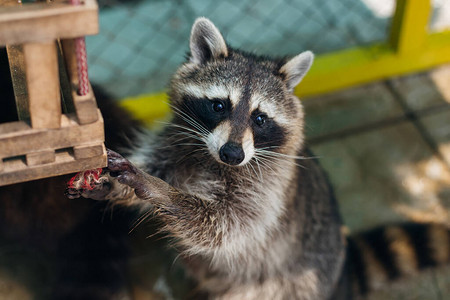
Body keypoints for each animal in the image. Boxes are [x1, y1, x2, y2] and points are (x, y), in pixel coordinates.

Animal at [67, 17, 450, 298]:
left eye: (260, 118)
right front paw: (116, 184)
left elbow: (227, 226)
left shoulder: (268, 186)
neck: (212, 159)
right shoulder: (176, 141)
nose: (232, 154)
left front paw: (163, 191)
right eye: (219, 105)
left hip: (288, 285)